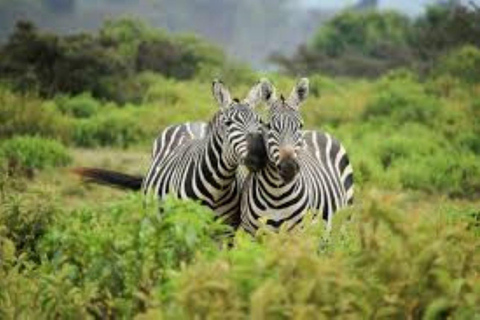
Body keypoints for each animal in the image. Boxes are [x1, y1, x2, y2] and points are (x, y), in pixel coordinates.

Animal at [75, 79, 270, 226]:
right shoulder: (185, 224)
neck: (218, 185)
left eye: (260, 122)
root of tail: (190, 123)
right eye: (229, 123)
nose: (259, 155)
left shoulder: (226, 230)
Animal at [242, 77, 354, 232]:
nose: (289, 167)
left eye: (300, 125)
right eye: (269, 126)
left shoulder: (300, 232)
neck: (276, 194)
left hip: (344, 221)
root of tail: (316, 131)